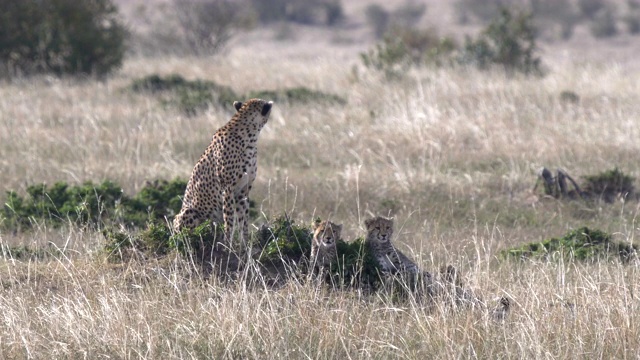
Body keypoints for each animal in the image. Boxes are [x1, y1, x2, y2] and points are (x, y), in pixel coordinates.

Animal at [174, 98, 274, 250]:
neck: (250, 138)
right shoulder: (227, 188)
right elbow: (230, 220)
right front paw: (228, 246)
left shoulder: (243, 190)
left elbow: (243, 220)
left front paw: (245, 245)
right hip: (188, 212)